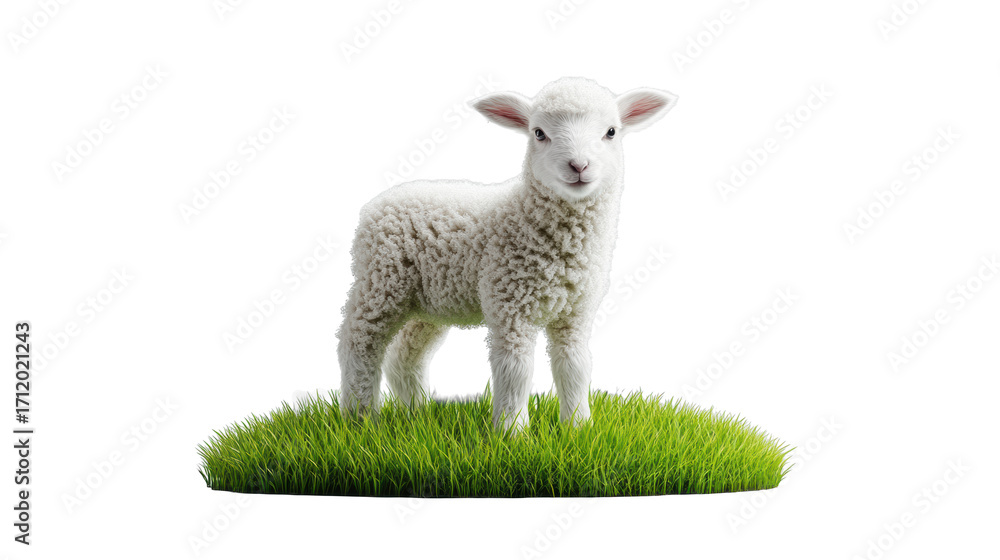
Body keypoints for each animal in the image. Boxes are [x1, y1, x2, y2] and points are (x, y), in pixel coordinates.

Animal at [337, 77, 677, 432]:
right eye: (538, 133)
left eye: (611, 131)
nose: (579, 166)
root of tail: (375, 204)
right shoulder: (510, 304)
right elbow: (516, 370)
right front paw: (512, 431)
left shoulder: (576, 312)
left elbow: (575, 366)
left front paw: (578, 428)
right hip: (382, 279)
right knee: (358, 341)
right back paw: (359, 419)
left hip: (428, 301)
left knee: (405, 353)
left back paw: (419, 414)